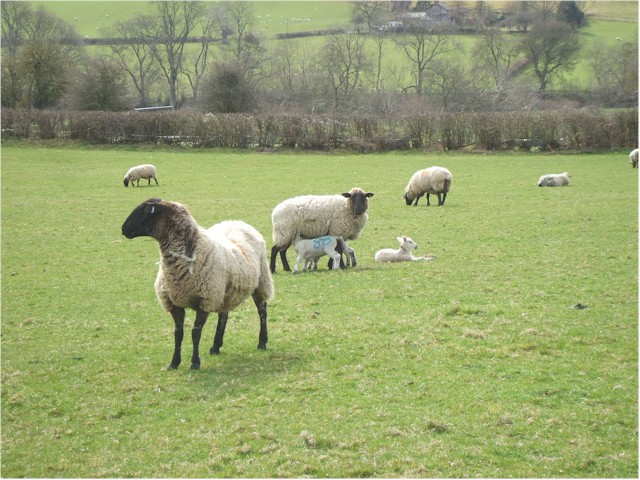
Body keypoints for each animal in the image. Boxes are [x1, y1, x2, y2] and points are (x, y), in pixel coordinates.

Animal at [121, 198, 274, 370]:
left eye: (146, 211)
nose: (123, 228)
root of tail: (237, 222)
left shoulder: (204, 300)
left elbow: (195, 333)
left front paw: (195, 363)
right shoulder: (174, 303)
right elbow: (178, 333)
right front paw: (174, 363)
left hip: (261, 282)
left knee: (262, 311)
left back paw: (262, 342)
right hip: (224, 290)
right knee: (223, 315)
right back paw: (216, 346)